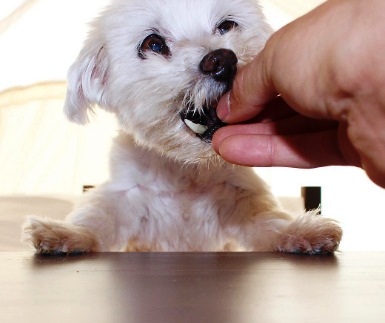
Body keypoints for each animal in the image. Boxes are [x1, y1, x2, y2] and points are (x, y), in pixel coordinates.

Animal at [22, 0, 340, 254]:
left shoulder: (237, 194)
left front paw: (300, 232)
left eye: (227, 25)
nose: (222, 60)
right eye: (153, 44)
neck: (185, 174)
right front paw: (65, 234)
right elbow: (98, 218)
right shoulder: (128, 197)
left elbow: (266, 219)